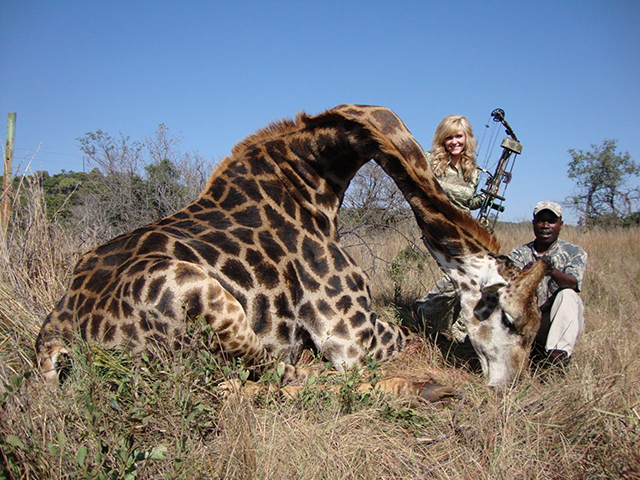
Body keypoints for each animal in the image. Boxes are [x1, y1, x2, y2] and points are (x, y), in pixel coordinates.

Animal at [35, 104, 549, 391]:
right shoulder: (351, 337)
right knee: (265, 375)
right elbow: (412, 336)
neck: (319, 178)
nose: (510, 389)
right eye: (511, 320)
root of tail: (57, 335)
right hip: (200, 294)